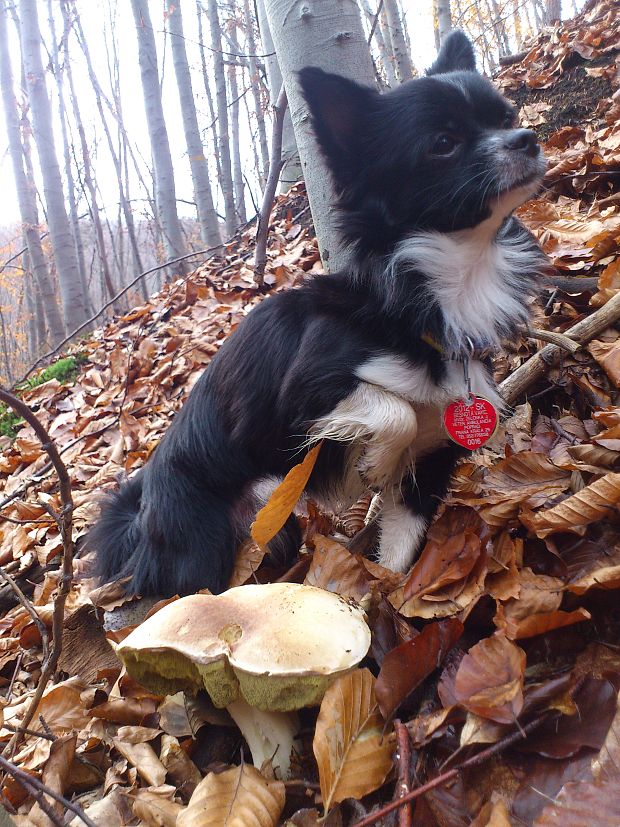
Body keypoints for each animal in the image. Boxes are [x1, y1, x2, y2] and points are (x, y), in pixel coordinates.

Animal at [88, 32, 548, 600]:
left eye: (506, 116)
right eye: (443, 142)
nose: (526, 137)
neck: (437, 293)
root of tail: (141, 514)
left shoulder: (434, 459)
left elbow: (401, 547)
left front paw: (387, 600)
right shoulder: (303, 395)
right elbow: (393, 411)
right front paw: (375, 461)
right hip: (207, 535)